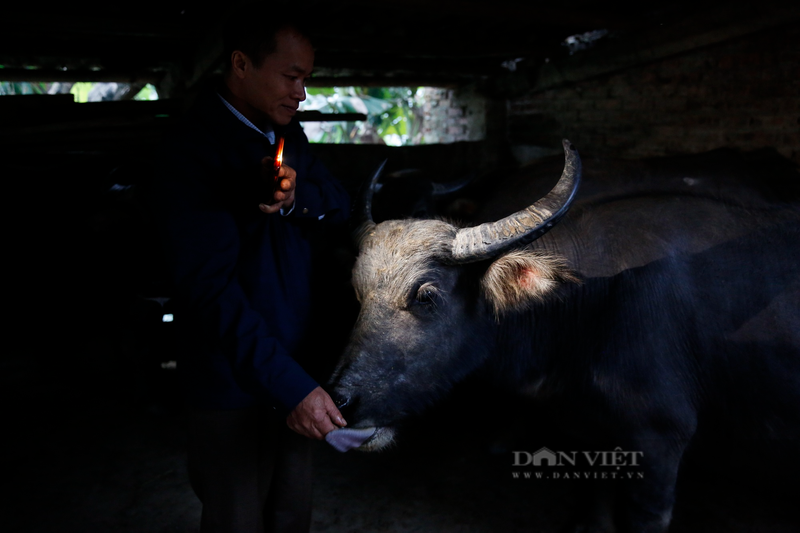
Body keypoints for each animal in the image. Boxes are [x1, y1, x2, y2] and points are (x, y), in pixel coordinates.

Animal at [326, 141, 800, 532]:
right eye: (357, 291)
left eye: (426, 295)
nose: (341, 402)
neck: (587, 302)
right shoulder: (588, 432)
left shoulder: (661, 438)